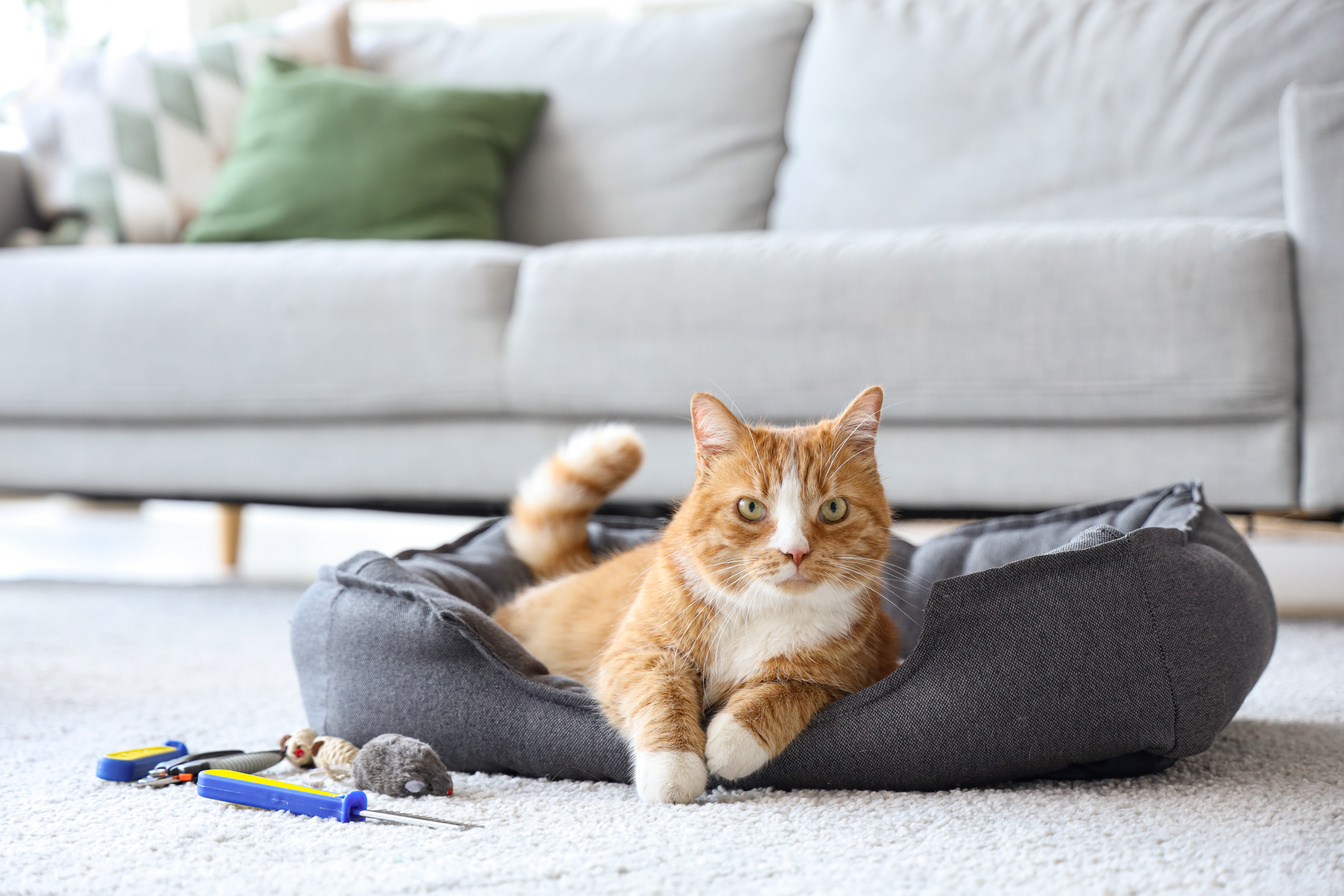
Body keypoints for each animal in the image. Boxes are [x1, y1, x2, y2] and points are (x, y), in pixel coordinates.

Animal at [489, 386, 897, 805]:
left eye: (833, 508)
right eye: (750, 507)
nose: (795, 552)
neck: (761, 610)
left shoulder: (851, 676)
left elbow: (786, 688)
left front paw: (733, 740)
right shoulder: (635, 654)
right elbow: (663, 692)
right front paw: (673, 767)